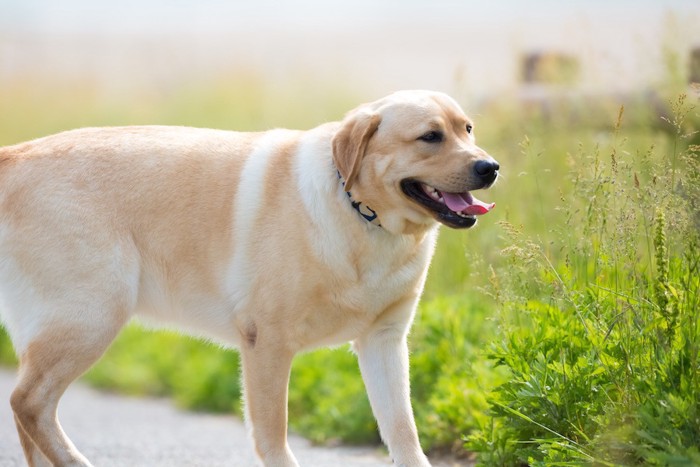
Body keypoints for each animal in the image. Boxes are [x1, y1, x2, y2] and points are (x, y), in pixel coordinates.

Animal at [0, 89, 498, 466]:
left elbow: (402, 431)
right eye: (430, 137)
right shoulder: (269, 343)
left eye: (467, 129)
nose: (489, 167)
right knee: (28, 403)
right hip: (91, 315)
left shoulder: (385, 342)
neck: (362, 215)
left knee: (30, 416)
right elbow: (273, 435)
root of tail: (14, 155)